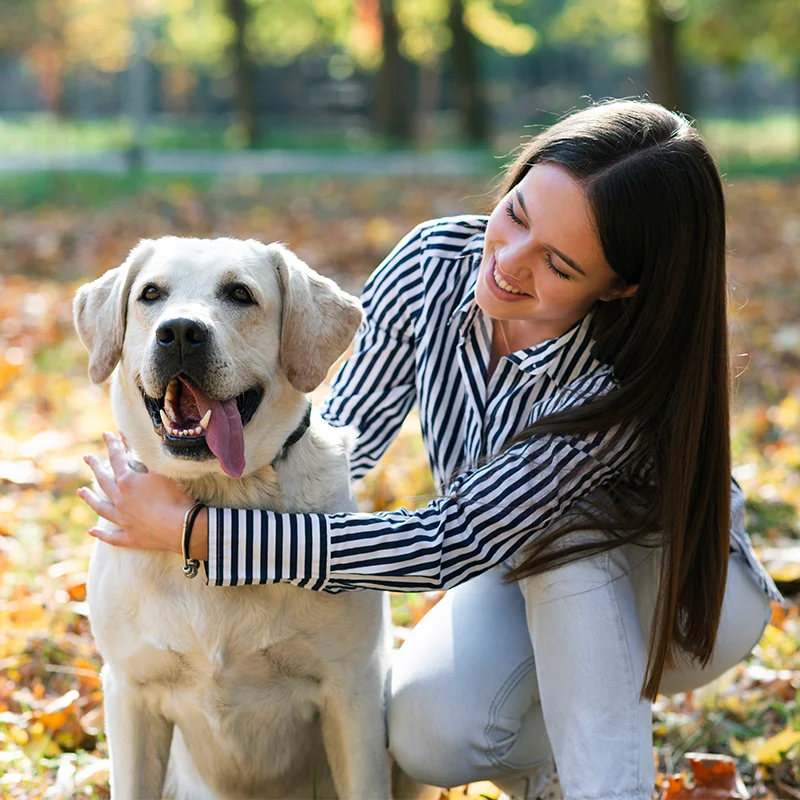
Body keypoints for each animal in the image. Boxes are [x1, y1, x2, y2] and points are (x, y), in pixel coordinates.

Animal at [74, 237, 422, 799]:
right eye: (150, 294)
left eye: (240, 294)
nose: (180, 332)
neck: (220, 496)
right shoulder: (129, 691)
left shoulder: (353, 691)